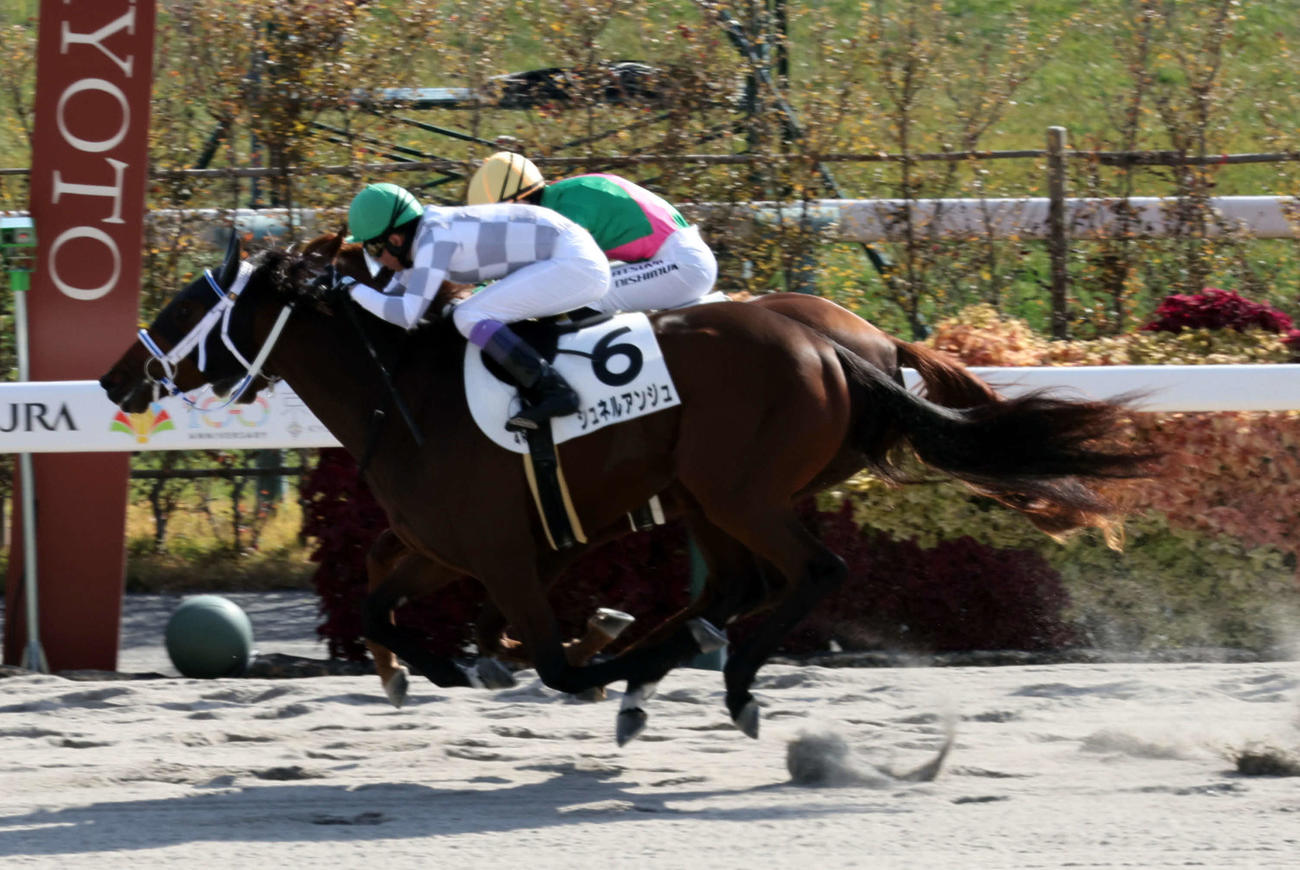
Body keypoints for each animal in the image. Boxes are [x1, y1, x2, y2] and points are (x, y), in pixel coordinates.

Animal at [101, 234, 1154, 743]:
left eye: (189, 305)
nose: (115, 380)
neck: (407, 388)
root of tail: (843, 348)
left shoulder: (501, 551)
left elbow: (552, 660)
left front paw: (566, 661)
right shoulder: (442, 546)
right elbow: (373, 604)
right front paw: (451, 665)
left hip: (737, 492)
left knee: (811, 574)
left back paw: (722, 674)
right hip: (712, 497)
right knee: (735, 584)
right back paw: (681, 658)